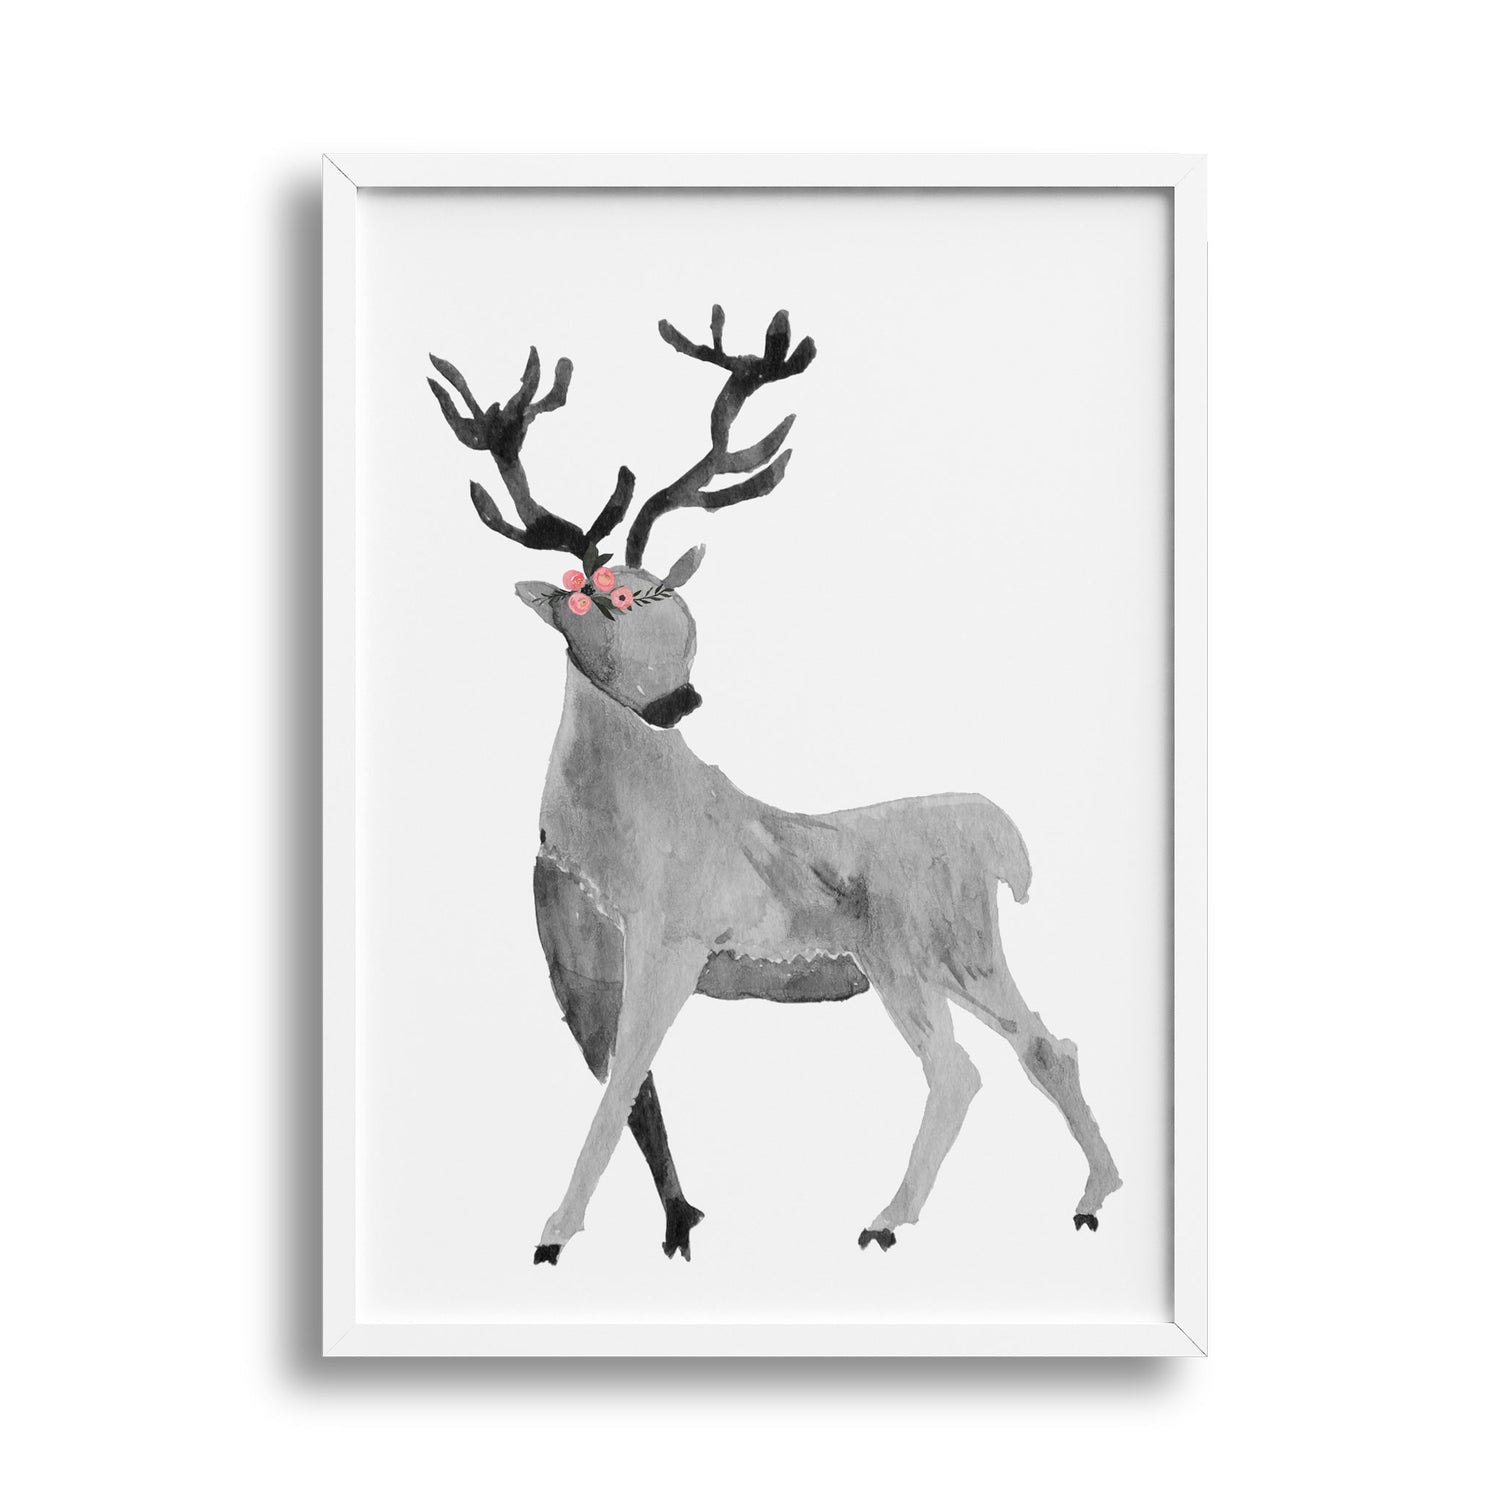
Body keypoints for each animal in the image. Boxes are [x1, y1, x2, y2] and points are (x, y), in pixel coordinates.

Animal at [428, 306, 1122, 1265]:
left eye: (658, 593)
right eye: (594, 600)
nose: (680, 699)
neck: (611, 839)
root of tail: (996, 839)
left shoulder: (675, 935)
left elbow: (619, 1090)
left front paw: (557, 1234)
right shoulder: (576, 959)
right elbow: (634, 1092)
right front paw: (675, 1225)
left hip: (918, 953)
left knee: (967, 1068)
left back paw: (891, 1218)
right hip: (947, 958)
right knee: (1037, 1048)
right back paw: (1084, 1198)